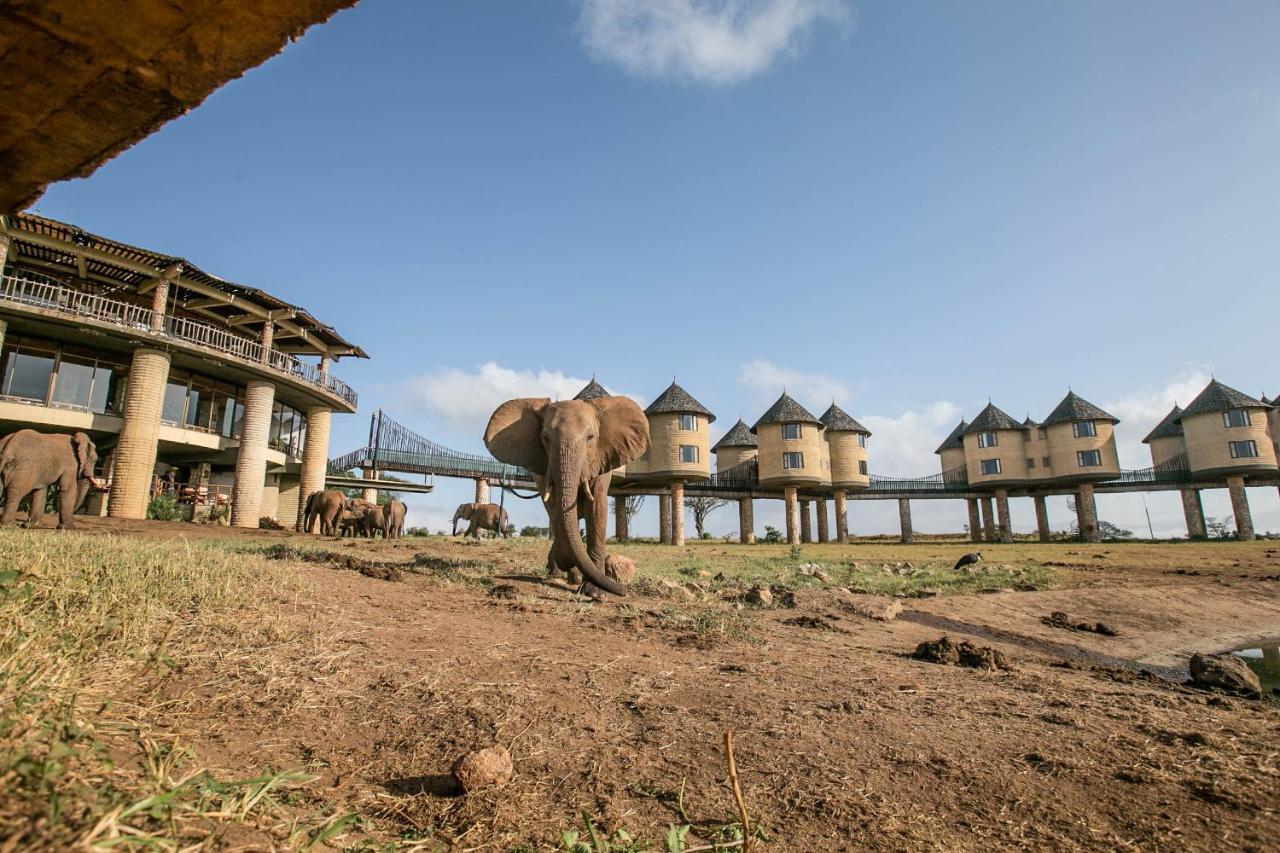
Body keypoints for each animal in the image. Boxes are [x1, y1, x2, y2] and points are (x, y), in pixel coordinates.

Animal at [481, 394, 650, 594]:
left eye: (591, 437)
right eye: (545, 438)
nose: (623, 592)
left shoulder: (602, 460)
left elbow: (597, 509)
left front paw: (595, 591)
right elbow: (556, 507)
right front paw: (569, 566)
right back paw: (562, 573)